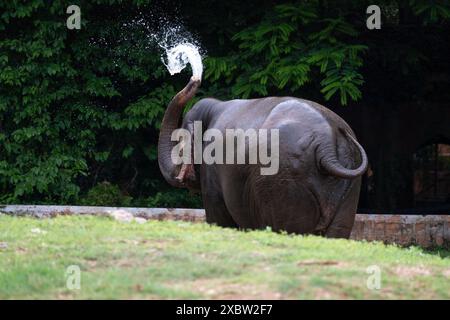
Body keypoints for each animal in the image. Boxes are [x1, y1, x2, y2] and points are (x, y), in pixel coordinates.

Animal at [156, 77, 368, 238]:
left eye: (179, 140)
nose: (194, 80)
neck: (215, 106)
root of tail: (327, 144)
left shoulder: (212, 174)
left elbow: (220, 220)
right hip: (349, 185)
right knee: (338, 232)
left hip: (284, 180)